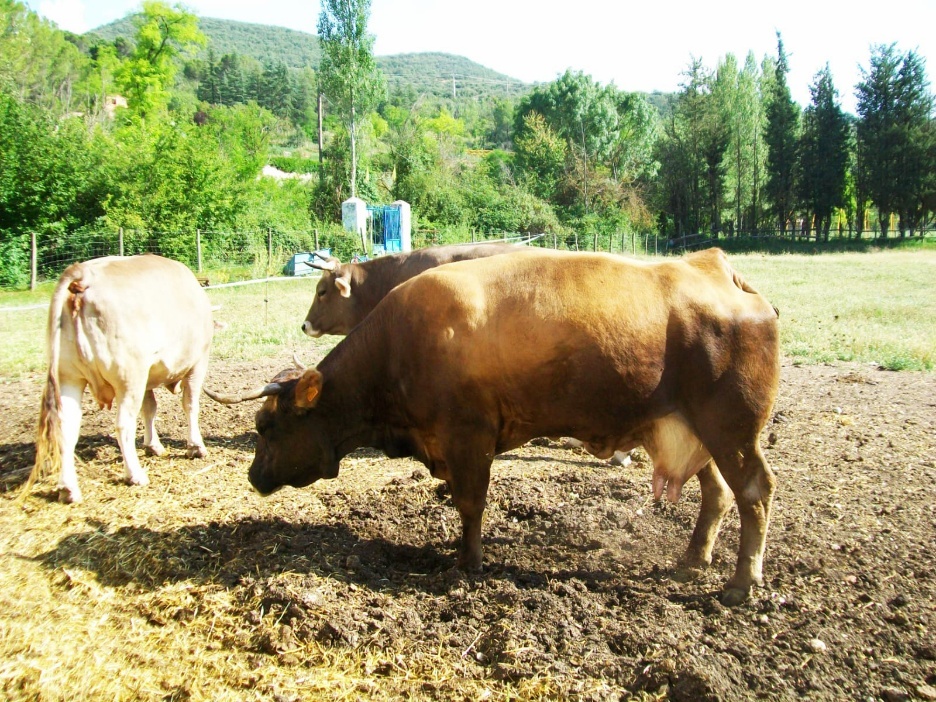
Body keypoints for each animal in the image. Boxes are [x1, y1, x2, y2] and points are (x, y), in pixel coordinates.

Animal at [25, 254, 214, 504]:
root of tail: (82, 275)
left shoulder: (146, 375)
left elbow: (150, 408)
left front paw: (153, 445)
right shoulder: (198, 361)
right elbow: (190, 404)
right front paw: (196, 447)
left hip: (69, 376)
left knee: (66, 426)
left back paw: (68, 488)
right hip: (128, 376)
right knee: (124, 424)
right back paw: (135, 474)